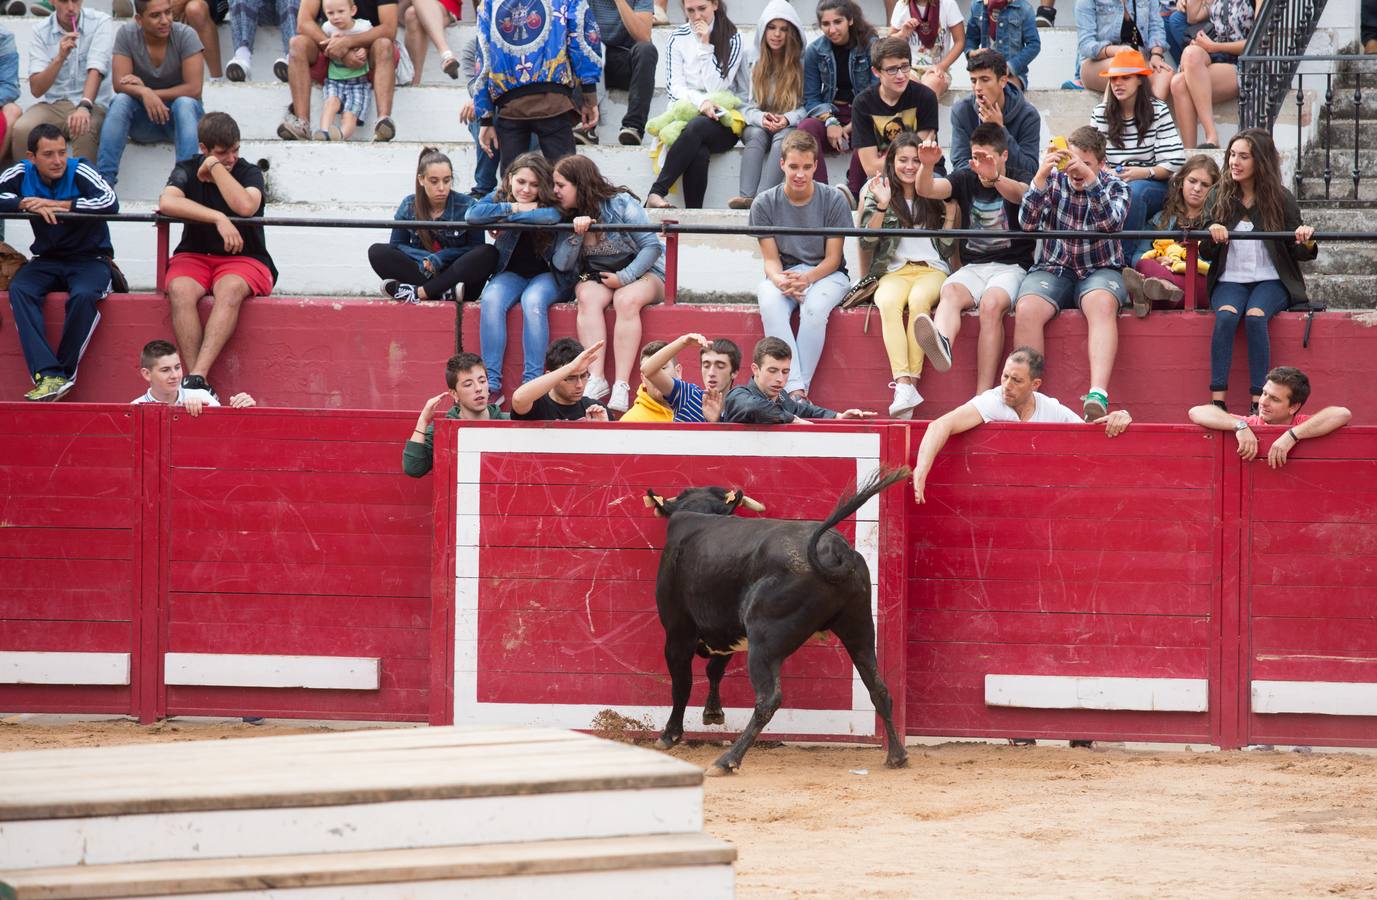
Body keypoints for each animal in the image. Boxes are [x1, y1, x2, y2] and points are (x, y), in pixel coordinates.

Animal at [644, 465, 914, 776]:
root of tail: (836, 550)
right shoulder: (728, 631)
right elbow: (715, 669)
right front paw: (713, 712)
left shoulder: (678, 631)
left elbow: (682, 683)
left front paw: (669, 735)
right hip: (860, 628)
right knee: (879, 688)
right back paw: (897, 756)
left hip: (764, 640)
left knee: (768, 698)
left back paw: (727, 760)